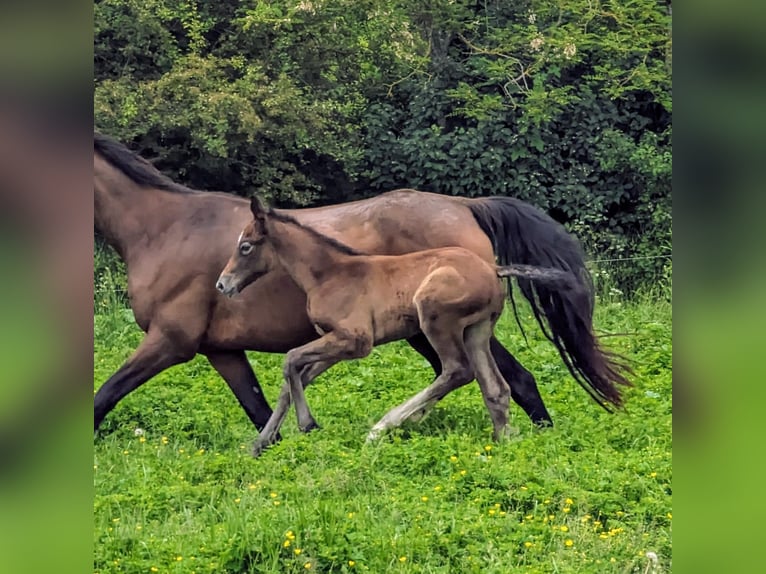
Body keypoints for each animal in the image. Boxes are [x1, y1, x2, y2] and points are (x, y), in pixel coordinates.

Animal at [93, 132, 632, 436]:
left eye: (246, 246)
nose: (226, 285)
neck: (162, 228)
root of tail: (466, 206)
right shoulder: (221, 350)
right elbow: (262, 405)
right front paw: (282, 442)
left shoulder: (171, 340)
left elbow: (102, 397)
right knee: (488, 379)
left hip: (434, 326)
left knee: (499, 376)